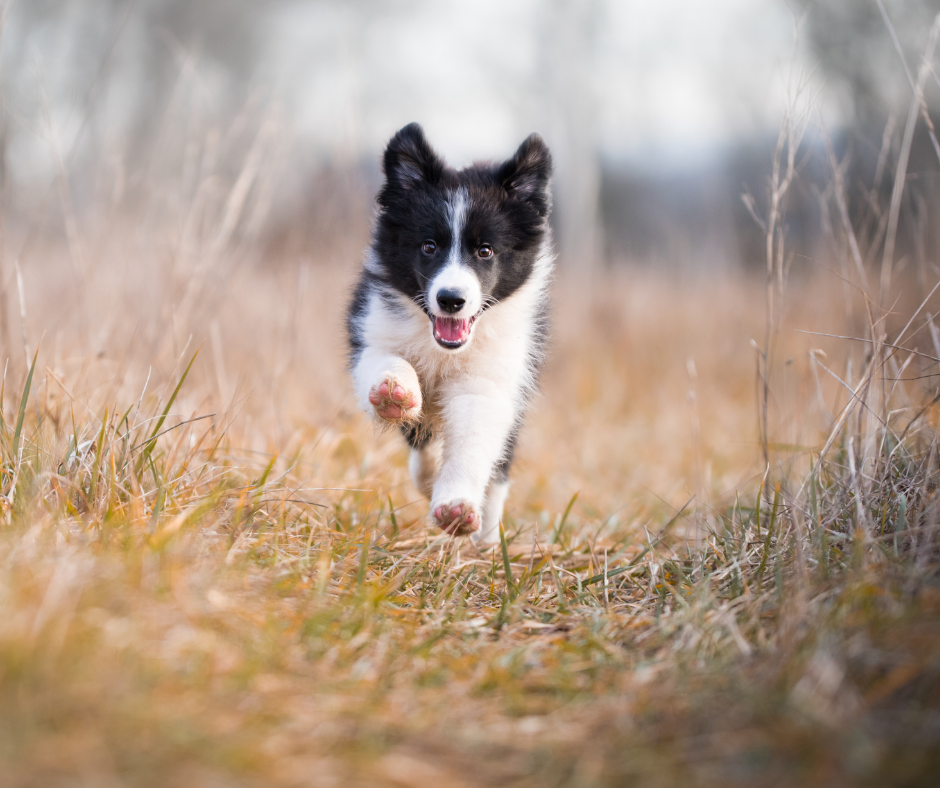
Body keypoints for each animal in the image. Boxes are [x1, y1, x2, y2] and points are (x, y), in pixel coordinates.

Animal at [346, 124, 552, 548]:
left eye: (485, 251)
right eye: (429, 246)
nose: (451, 300)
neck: (445, 348)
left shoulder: (491, 379)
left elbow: (473, 440)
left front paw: (457, 506)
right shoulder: (373, 326)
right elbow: (384, 359)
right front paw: (394, 389)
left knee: (498, 465)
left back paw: (486, 539)